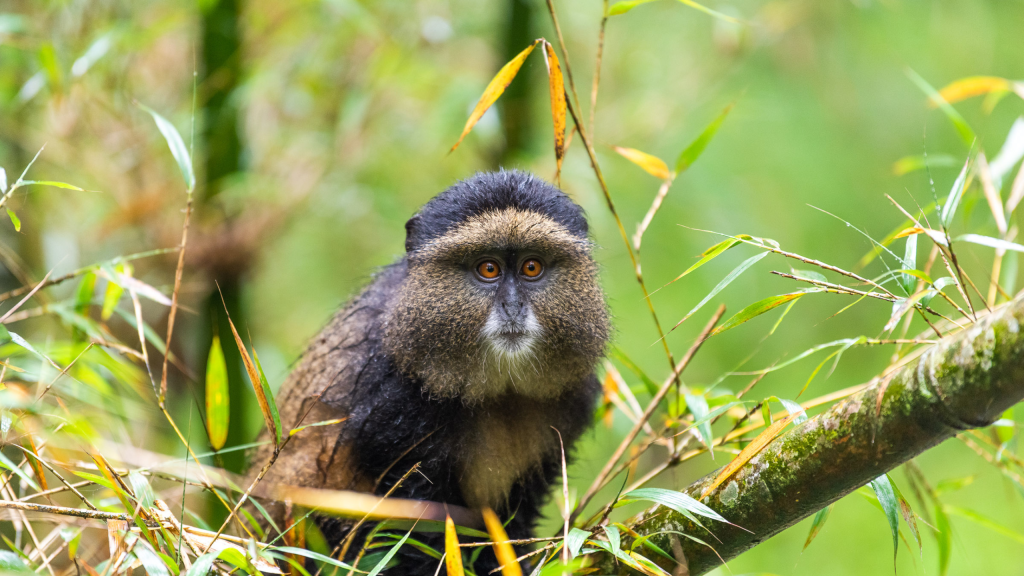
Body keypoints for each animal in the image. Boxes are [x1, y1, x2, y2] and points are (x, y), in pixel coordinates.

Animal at [247, 170, 610, 574]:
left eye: (531, 267)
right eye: (488, 269)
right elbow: (415, 528)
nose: (513, 306)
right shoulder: (391, 403)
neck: (498, 390)